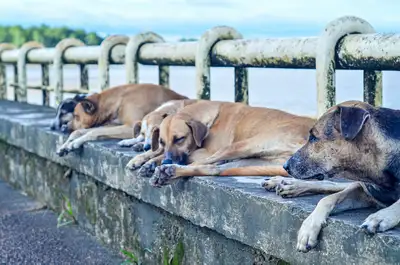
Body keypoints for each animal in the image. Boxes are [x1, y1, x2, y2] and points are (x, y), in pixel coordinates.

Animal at [55, 83, 188, 156]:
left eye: (76, 116)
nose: (63, 127)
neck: (120, 99)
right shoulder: (113, 125)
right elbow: (80, 131)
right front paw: (65, 145)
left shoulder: (130, 127)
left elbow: (93, 131)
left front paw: (75, 143)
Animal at [278, 100, 400, 252]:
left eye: (313, 137)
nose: (285, 166)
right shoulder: (364, 192)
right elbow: (328, 198)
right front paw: (309, 226)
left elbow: (398, 203)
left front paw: (381, 216)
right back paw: (289, 184)